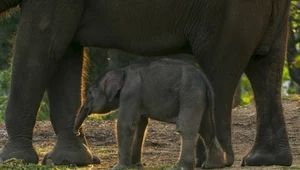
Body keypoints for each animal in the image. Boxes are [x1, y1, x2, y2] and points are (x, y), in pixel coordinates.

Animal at [74, 58, 225, 170]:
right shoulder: (137, 97)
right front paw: (135, 166)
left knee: (186, 127)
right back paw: (212, 165)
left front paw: (118, 167)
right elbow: (140, 124)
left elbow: (126, 124)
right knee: (206, 128)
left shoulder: (130, 93)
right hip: (200, 98)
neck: (122, 70)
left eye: (89, 93)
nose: (77, 132)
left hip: (190, 95)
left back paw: (180, 167)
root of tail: (204, 78)